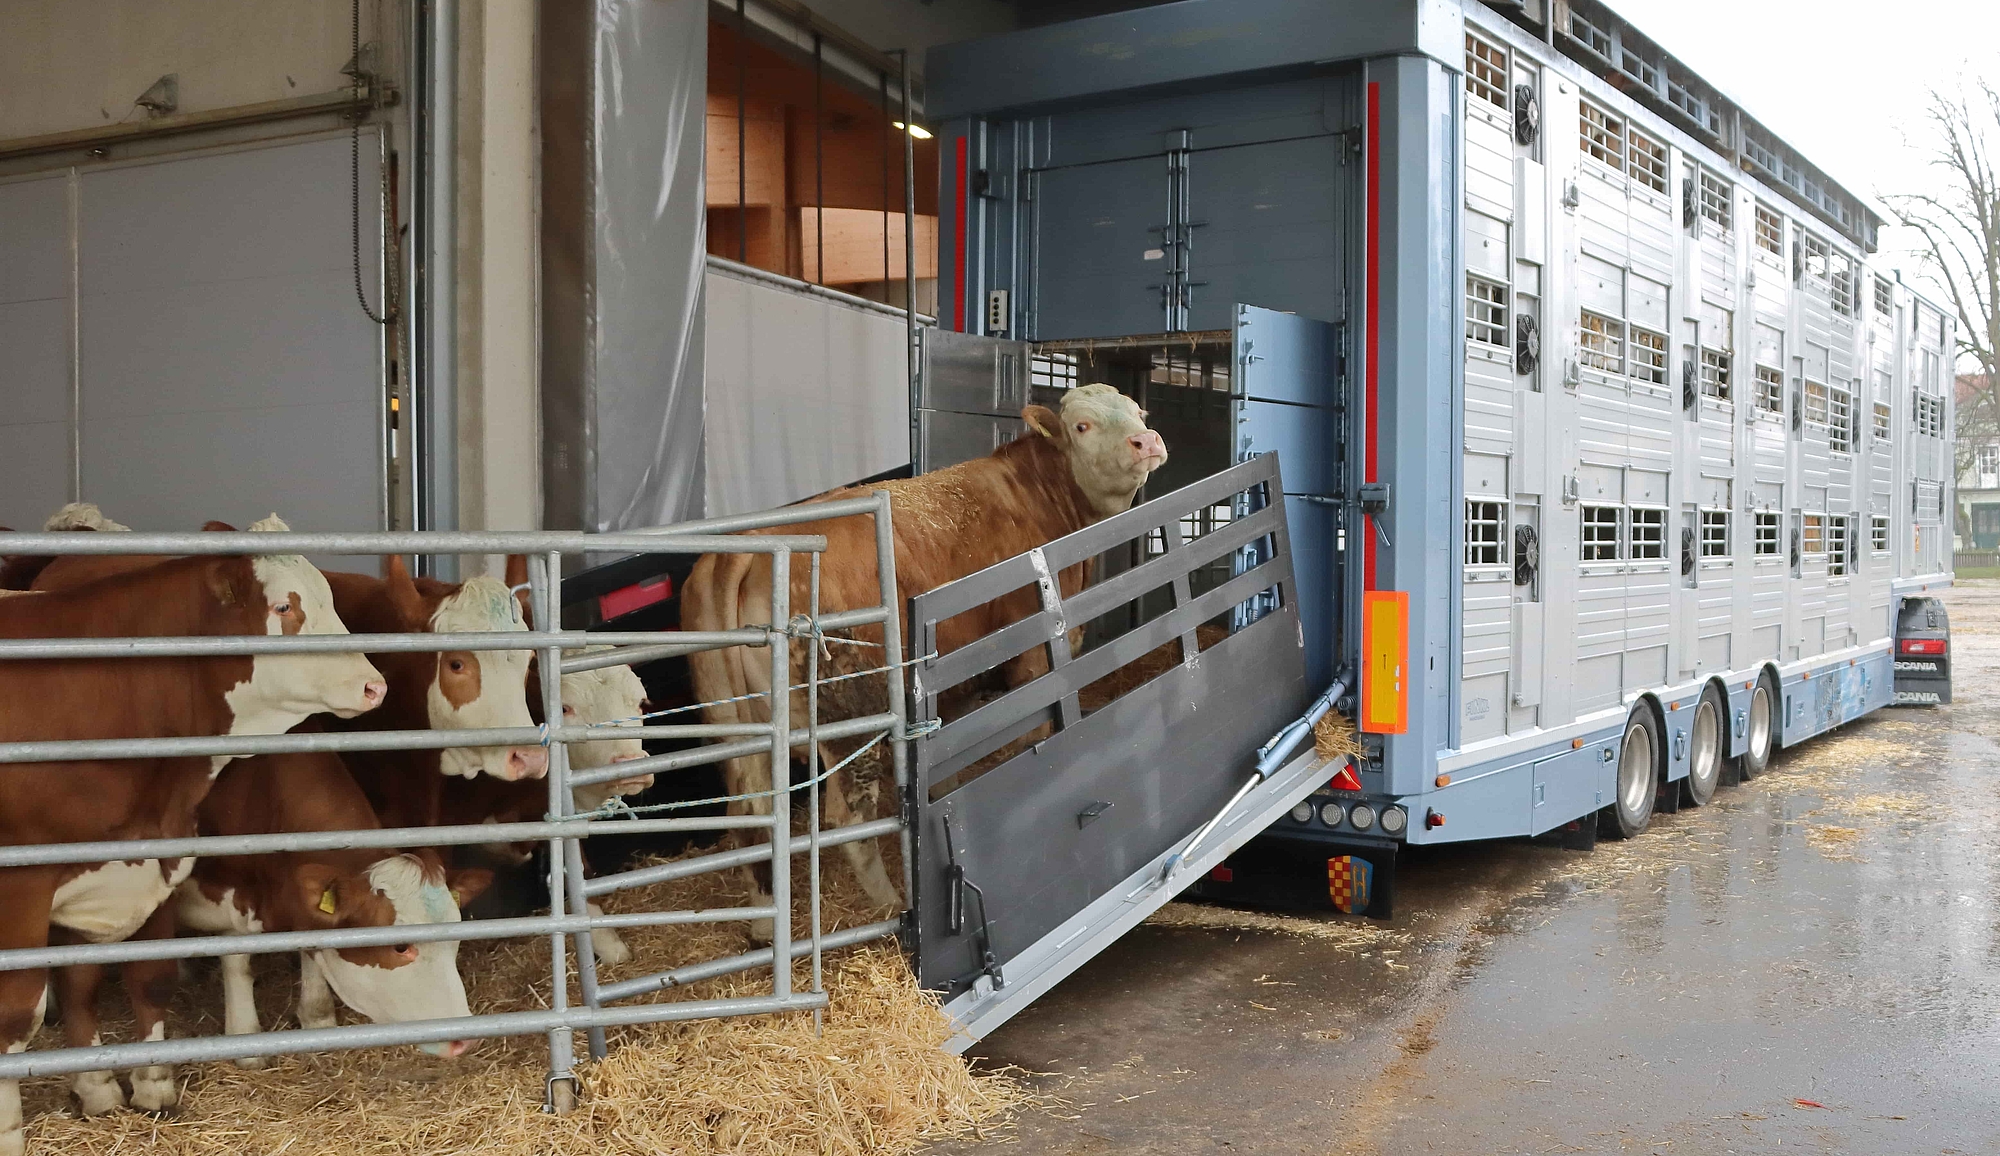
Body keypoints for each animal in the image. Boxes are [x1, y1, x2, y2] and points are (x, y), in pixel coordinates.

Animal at [0, 524, 382, 1152]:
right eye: (284, 607)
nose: (375, 684)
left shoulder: (147, 859)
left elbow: (134, 980)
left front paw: (138, 1088)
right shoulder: (22, 891)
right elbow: (16, 1016)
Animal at [680, 380, 1168, 936]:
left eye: (1138, 413)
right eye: (1083, 425)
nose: (1147, 441)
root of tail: (749, 547)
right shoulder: (1031, 663)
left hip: (735, 733)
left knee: (750, 813)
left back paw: (764, 924)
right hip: (849, 717)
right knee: (847, 813)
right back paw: (889, 904)